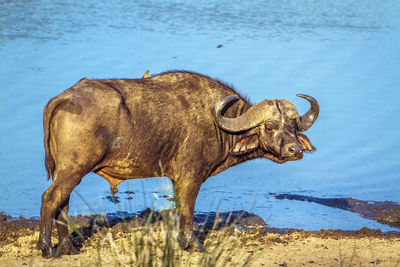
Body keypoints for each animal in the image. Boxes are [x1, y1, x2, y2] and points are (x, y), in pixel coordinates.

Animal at [37, 70, 318, 258]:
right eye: (269, 126)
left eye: (293, 126)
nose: (295, 150)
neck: (219, 123)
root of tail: (64, 97)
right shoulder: (190, 177)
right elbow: (187, 210)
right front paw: (192, 244)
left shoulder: (176, 179)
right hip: (73, 169)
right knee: (50, 198)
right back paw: (47, 248)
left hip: (67, 171)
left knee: (63, 203)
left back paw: (68, 247)